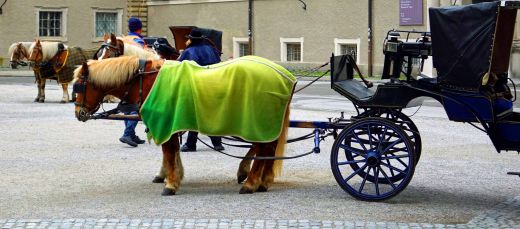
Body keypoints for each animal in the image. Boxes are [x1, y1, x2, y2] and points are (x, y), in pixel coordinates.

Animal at [75, 55, 298, 195]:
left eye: (79, 86)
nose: (79, 113)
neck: (145, 80)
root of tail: (284, 75)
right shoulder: (172, 124)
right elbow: (173, 152)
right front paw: (173, 176)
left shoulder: (165, 123)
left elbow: (168, 152)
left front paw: (171, 183)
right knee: (268, 147)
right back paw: (263, 180)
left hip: (256, 121)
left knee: (262, 147)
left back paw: (251, 182)